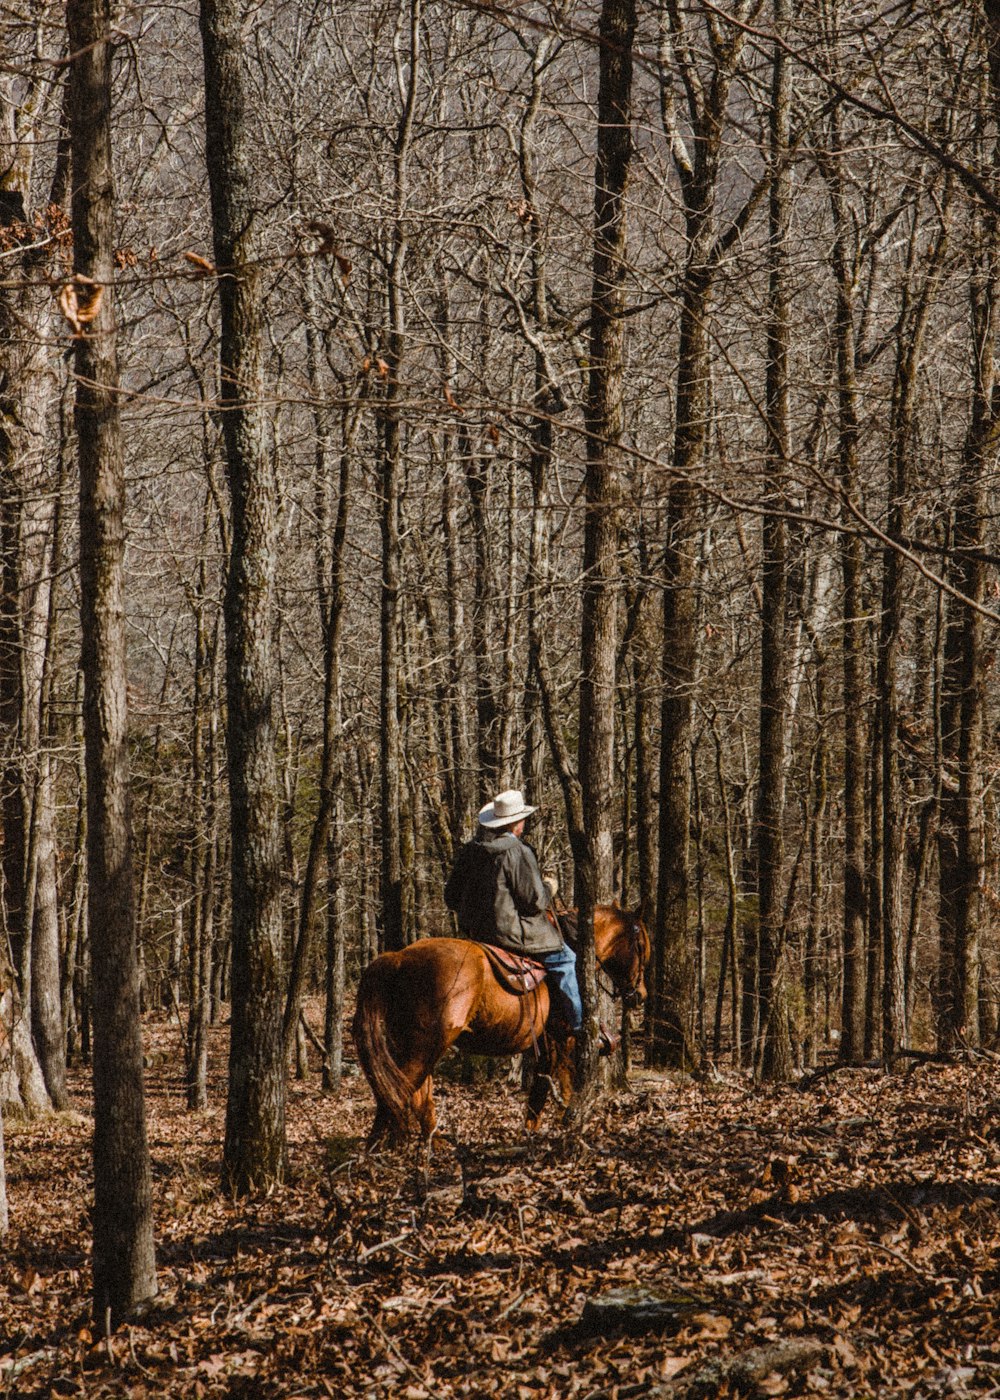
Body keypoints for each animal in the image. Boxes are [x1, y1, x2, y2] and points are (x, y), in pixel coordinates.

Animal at [350, 907, 647, 1148]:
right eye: (642, 946)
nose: (641, 995)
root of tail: (398, 958)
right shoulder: (564, 1037)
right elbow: (563, 1084)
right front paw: (568, 1124)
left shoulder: (547, 1042)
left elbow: (539, 1092)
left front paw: (531, 1132)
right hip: (425, 1047)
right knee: (397, 1093)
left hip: (416, 1047)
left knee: (416, 1094)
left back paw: (431, 1143)